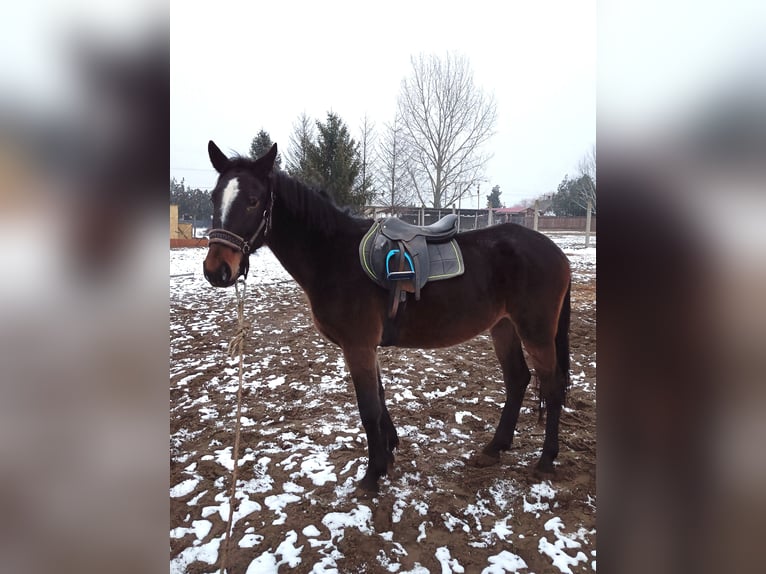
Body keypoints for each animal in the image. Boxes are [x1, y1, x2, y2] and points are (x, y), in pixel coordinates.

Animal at [201, 142, 572, 492]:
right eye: (214, 197)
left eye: (252, 200)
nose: (216, 270)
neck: (334, 255)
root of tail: (555, 252)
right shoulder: (366, 348)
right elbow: (379, 399)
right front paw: (389, 452)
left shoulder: (358, 346)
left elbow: (368, 408)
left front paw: (373, 474)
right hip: (504, 327)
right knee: (517, 380)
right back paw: (495, 447)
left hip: (536, 332)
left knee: (553, 385)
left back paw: (546, 459)